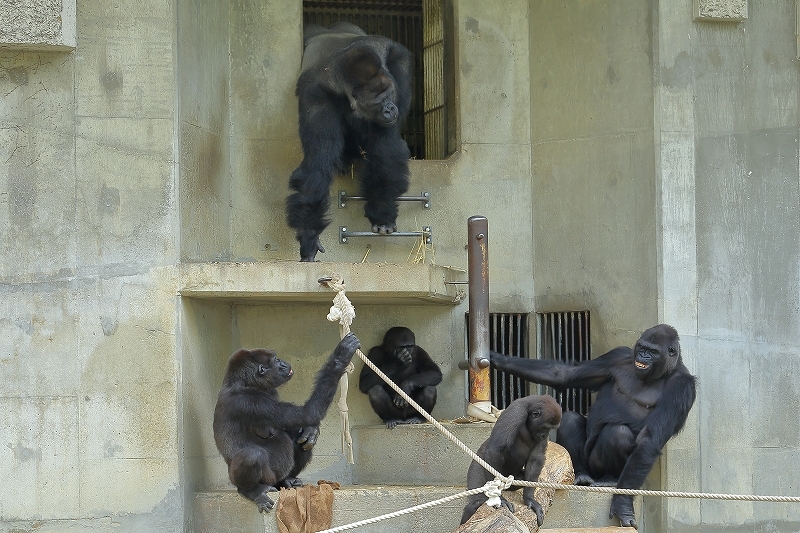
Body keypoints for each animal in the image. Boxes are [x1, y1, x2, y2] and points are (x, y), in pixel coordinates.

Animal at [214, 332, 360, 512]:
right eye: (276, 360)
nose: (283, 363)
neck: (245, 382)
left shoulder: (270, 390)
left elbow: (295, 425)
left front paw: (311, 430)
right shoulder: (248, 401)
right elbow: (308, 413)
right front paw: (341, 356)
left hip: (279, 478)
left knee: (301, 443)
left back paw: (288, 479)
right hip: (257, 479)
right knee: (252, 455)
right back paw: (251, 490)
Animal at [286, 22, 412, 260]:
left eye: (389, 94)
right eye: (378, 102)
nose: (390, 109)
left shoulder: (395, 79)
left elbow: (385, 149)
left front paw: (382, 212)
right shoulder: (315, 97)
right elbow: (318, 163)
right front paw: (309, 235)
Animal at [460, 394, 564, 524]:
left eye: (551, 428)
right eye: (546, 427)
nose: (545, 435)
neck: (529, 408)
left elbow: (535, 459)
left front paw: (529, 498)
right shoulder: (516, 411)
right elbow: (495, 451)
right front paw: (499, 499)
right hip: (477, 466)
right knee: (477, 498)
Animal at [488, 324, 692, 528]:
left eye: (653, 352)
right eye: (642, 347)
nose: (643, 356)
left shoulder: (682, 388)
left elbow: (648, 440)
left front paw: (623, 504)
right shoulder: (617, 356)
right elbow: (563, 375)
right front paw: (496, 358)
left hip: (599, 468)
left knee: (617, 433)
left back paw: (611, 479)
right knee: (570, 420)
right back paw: (581, 474)